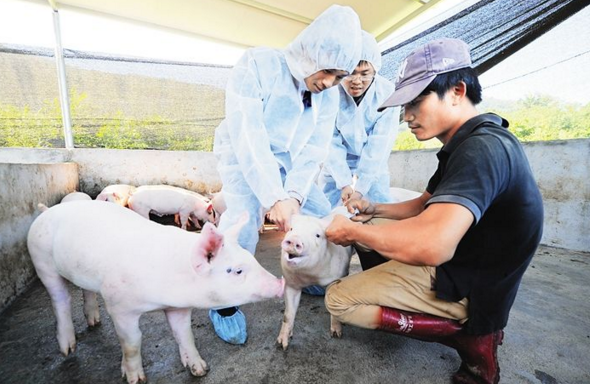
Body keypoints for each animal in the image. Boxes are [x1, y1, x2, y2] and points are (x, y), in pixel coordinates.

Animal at [27, 201, 284, 384]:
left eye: (251, 258)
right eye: (237, 270)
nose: (280, 283)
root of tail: (47, 211)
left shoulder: (178, 307)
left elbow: (184, 334)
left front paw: (200, 370)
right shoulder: (119, 306)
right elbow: (132, 342)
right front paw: (135, 379)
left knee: (85, 291)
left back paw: (93, 323)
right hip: (42, 261)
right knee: (60, 299)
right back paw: (67, 349)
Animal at [276, 213, 354, 352]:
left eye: (317, 235)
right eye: (291, 229)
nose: (294, 239)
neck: (310, 277)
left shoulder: (335, 278)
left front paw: (336, 334)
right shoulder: (291, 283)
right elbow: (288, 314)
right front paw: (282, 345)